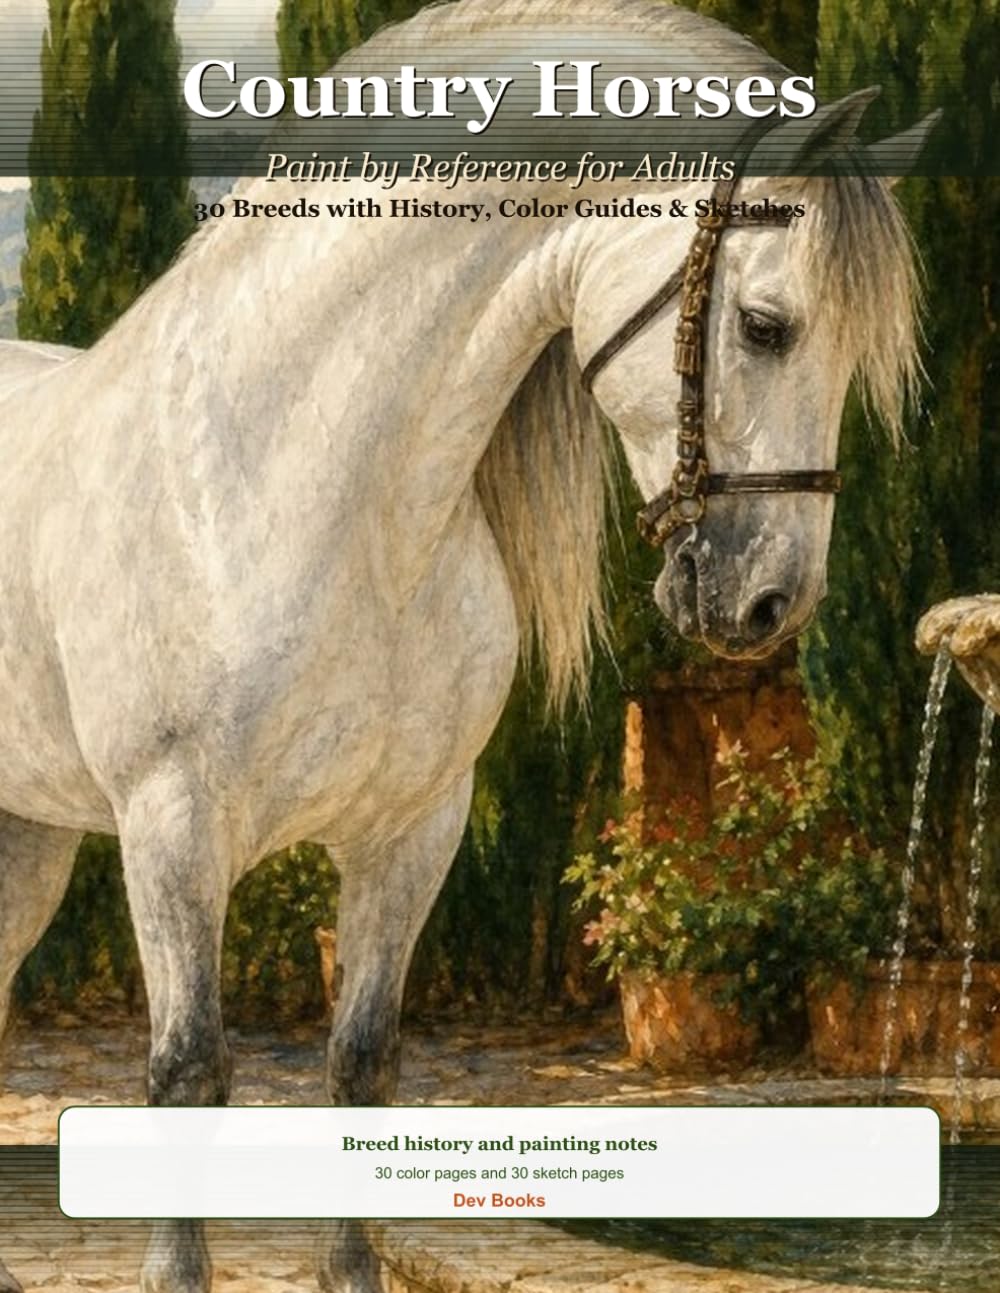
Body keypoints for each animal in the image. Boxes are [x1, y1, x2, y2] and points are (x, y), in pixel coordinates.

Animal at [0, 0, 925, 1289]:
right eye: (764, 325)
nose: (767, 605)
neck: (301, 488)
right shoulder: (170, 830)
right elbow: (188, 1076)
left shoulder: (412, 829)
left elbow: (361, 1066)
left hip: (29, 843)